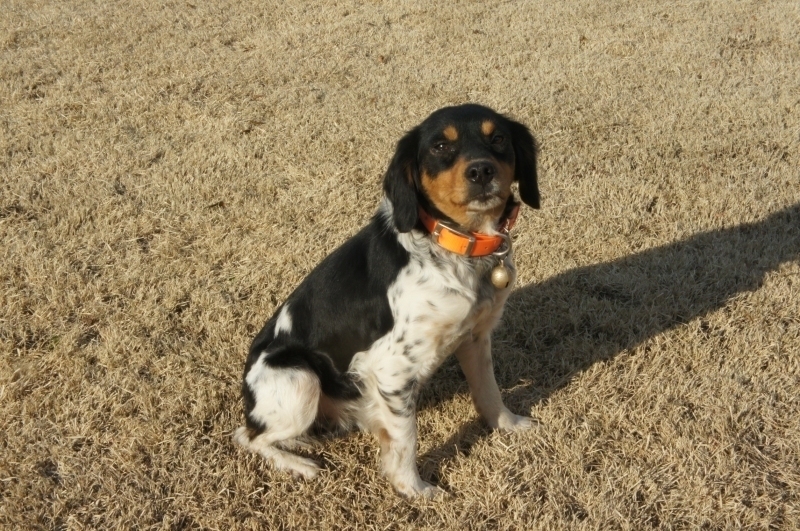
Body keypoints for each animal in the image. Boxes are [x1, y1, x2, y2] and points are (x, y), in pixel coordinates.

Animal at [234, 104, 540, 497]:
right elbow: (406, 438)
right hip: (300, 378)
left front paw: (509, 424)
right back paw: (299, 463)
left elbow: (489, 392)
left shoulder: (475, 336)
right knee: (248, 435)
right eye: (441, 146)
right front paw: (415, 490)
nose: (481, 170)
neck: (456, 248)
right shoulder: (390, 368)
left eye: (498, 138)